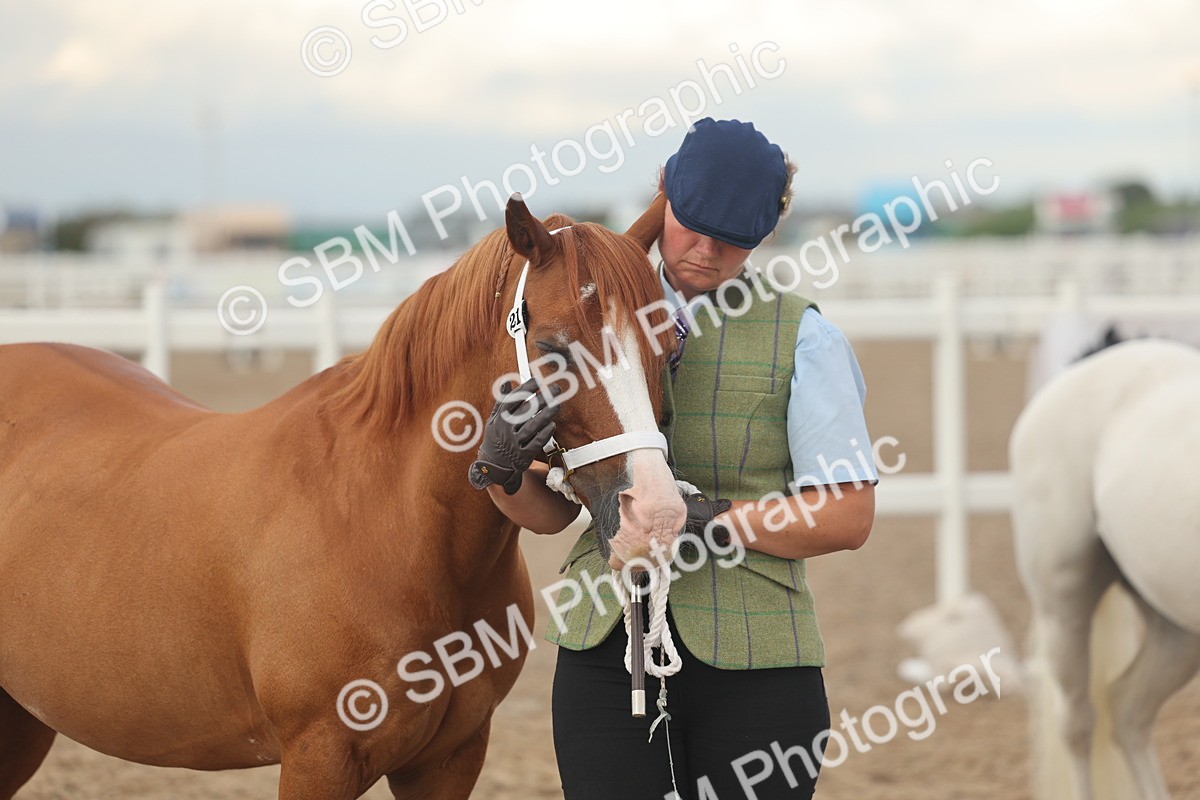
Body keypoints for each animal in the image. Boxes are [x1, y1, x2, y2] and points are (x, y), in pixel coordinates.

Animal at [0, 193, 686, 800]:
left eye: (670, 345)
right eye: (551, 350)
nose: (655, 515)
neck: (385, 521)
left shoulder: (449, 760)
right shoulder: (319, 758)